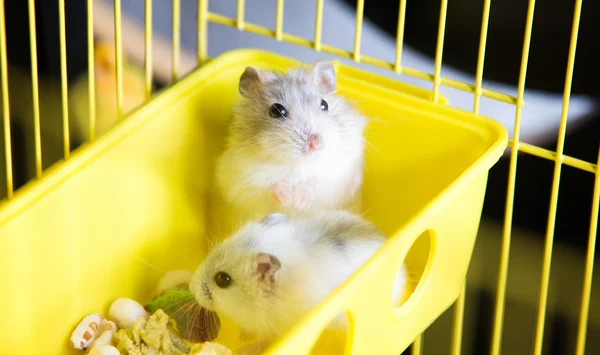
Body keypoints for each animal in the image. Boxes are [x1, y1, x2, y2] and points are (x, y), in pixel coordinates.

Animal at [190, 211, 410, 354]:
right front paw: (243, 337)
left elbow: (263, 341)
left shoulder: (276, 329)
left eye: (223, 279)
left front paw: (246, 347)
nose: (192, 287)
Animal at [213, 61, 368, 220]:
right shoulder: (241, 182)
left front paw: (298, 201)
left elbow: (316, 185)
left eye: (324, 104)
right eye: (276, 110)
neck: (297, 163)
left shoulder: (339, 177)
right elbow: (267, 186)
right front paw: (288, 199)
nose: (316, 144)